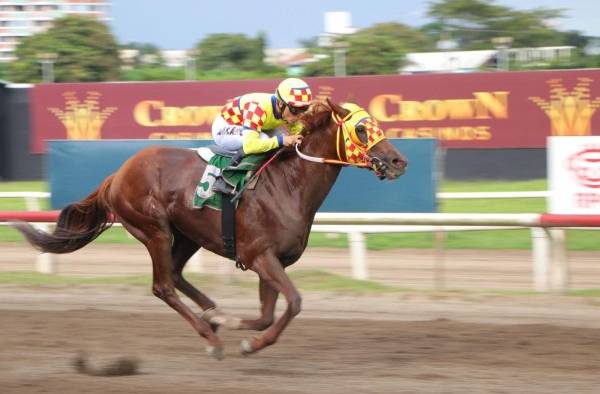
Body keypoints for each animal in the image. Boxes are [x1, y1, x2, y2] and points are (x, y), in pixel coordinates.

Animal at [15, 99, 408, 360]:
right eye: (361, 129)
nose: (398, 161)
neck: (289, 185)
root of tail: (117, 174)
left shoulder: (273, 260)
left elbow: (266, 315)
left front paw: (237, 326)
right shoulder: (260, 256)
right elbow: (294, 303)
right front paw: (249, 342)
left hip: (188, 235)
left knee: (175, 275)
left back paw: (214, 314)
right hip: (154, 229)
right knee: (163, 286)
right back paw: (210, 335)